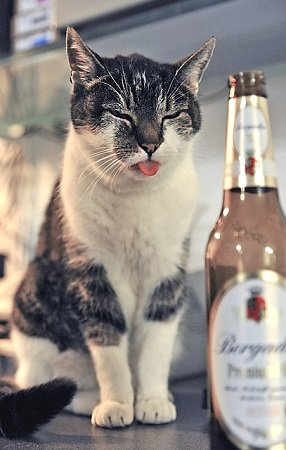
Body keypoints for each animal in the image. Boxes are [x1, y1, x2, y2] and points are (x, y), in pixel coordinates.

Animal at [0, 27, 214, 436]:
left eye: (170, 114)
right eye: (120, 113)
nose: (151, 143)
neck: (135, 200)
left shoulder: (166, 275)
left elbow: (155, 346)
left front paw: (152, 401)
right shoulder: (93, 274)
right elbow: (109, 345)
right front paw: (117, 404)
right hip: (33, 302)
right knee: (48, 379)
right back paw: (88, 399)